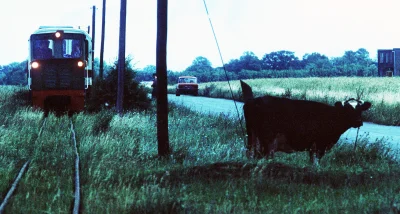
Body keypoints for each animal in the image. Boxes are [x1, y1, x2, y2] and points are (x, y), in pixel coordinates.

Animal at [241, 80, 372, 164]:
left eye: (360, 109)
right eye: (347, 109)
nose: (358, 121)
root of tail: (254, 101)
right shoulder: (320, 144)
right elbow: (316, 162)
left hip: (252, 138)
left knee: (250, 155)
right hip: (267, 141)